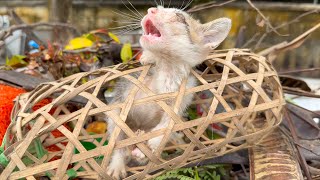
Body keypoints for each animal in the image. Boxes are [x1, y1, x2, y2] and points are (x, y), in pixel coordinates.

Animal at [106, 5, 231, 180]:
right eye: (159, 8)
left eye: (180, 17)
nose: (151, 10)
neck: (167, 68)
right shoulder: (124, 94)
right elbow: (119, 131)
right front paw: (147, 56)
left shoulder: (182, 98)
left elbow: (166, 126)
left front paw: (153, 143)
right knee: (120, 143)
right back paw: (119, 163)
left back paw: (141, 150)